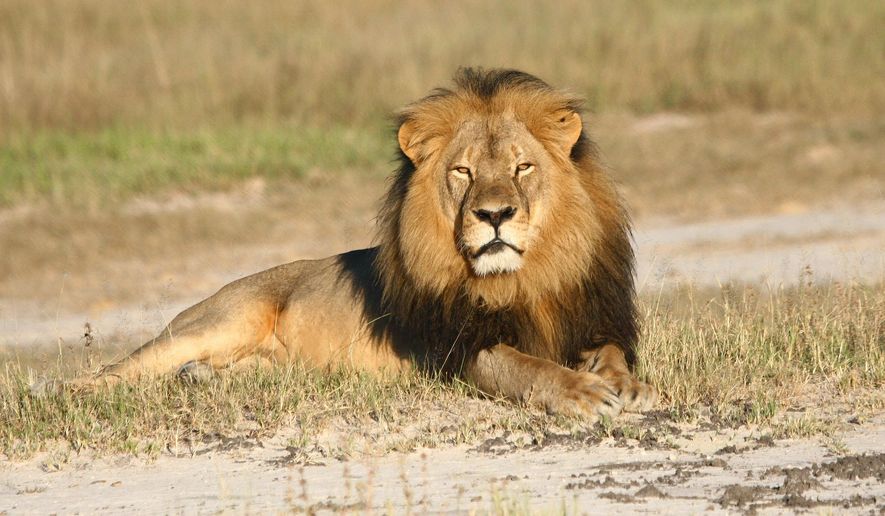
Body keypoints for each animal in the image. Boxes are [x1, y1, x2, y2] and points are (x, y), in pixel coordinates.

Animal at [56, 68, 656, 419]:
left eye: (522, 167)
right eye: (462, 172)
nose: (494, 215)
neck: (523, 279)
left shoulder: (591, 318)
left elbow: (611, 352)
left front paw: (629, 385)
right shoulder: (457, 349)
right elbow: (525, 367)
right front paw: (581, 392)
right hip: (219, 319)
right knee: (120, 369)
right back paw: (71, 394)